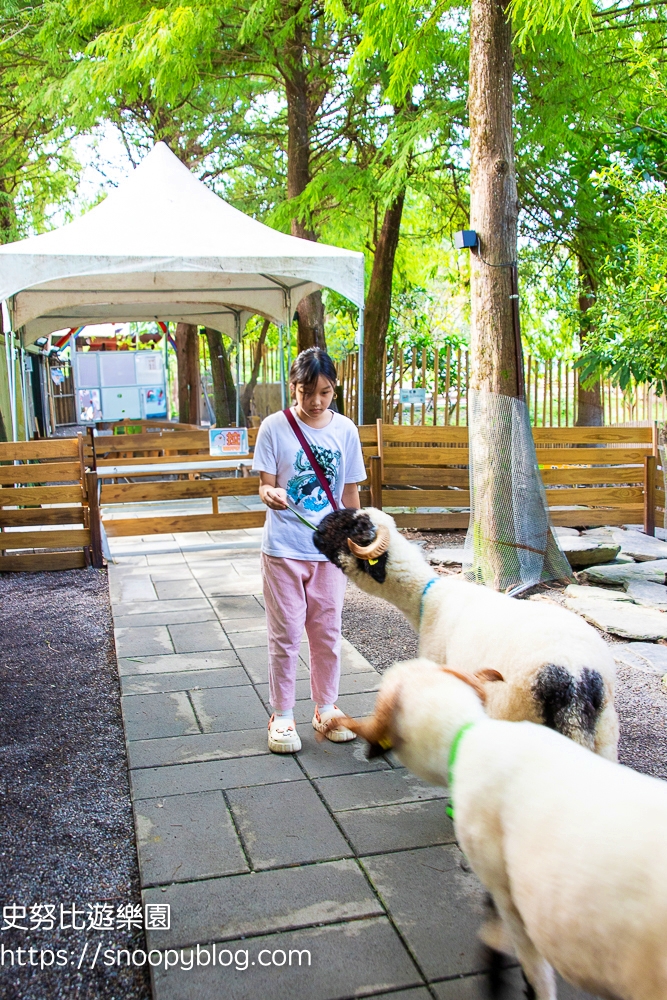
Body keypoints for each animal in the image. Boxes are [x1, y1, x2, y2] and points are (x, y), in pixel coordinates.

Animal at [316, 508, 620, 756]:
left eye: (352, 528)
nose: (317, 530)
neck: (428, 597)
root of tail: (574, 676)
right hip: (604, 734)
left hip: (514, 711)